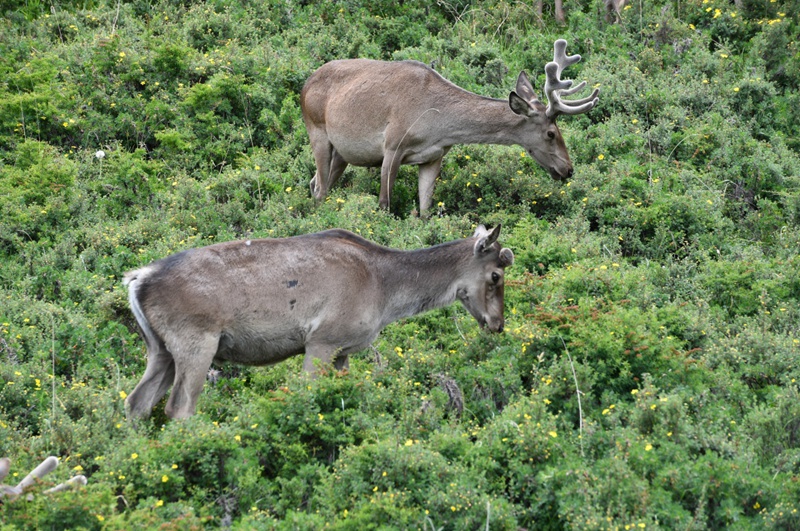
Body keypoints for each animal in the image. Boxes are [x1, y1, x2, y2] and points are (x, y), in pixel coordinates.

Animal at [122, 224, 516, 420]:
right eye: (496, 275)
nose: (497, 324)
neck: (386, 292)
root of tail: (137, 280)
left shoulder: (343, 351)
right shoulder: (322, 341)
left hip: (159, 349)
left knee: (137, 401)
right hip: (196, 341)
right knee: (179, 407)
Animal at [302, 37, 600, 217]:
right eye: (551, 133)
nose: (568, 169)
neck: (436, 125)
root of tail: (305, 85)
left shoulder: (434, 156)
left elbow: (425, 209)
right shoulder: (393, 145)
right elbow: (384, 204)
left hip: (342, 152)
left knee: (316, 181)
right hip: (317, 131)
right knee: (320, 189)